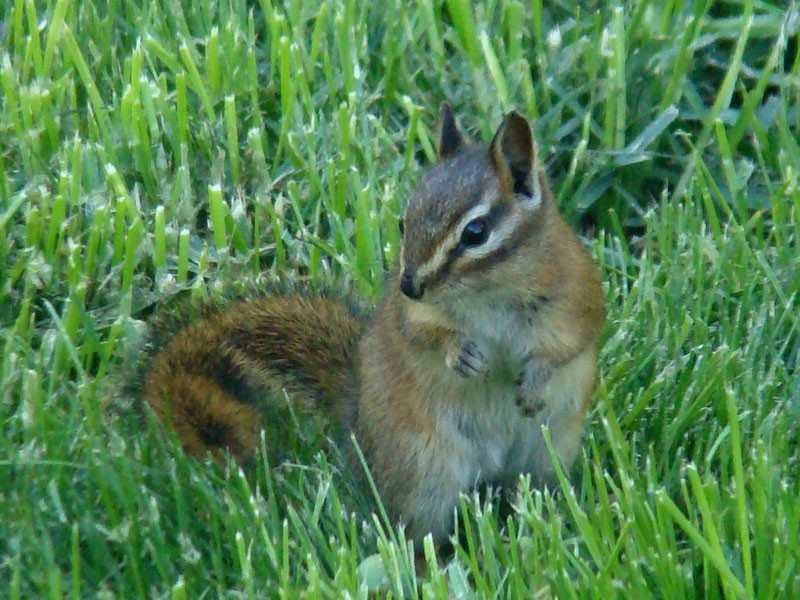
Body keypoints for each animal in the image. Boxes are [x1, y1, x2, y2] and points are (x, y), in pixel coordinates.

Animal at [137, 105, 605, 545]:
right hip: (423, 472)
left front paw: (534, 379)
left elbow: (571, 343)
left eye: (476, 232)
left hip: (547, 457)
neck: (488, 292)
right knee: (416, 533)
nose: (410, 284)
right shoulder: (415, 315)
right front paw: (461, 355)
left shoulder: (578, 298)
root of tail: (353, 419)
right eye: (404, 220)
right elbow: (424, 334)